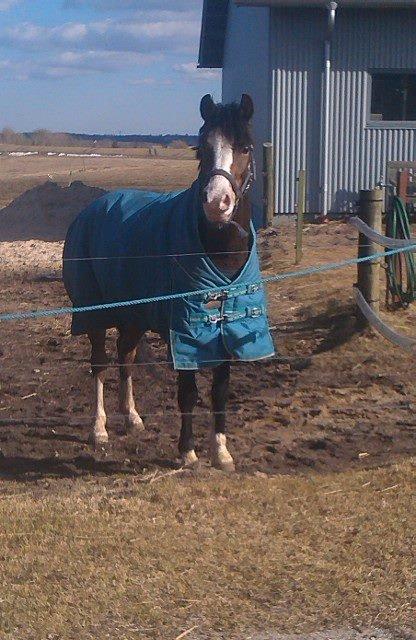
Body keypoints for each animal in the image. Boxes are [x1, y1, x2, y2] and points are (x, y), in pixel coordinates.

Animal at [63, 93, 275, 472]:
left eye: (246, 148)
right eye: (201, 149)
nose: (216, 203)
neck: (218, 252)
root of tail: (90, 210)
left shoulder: (226, 327)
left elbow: (220, 390)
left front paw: (221, 452)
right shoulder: (185, 331)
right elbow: (188, 392)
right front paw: (187, 451)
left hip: (134, 315)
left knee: (126, 356)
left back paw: (131, 417)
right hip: (94, 313)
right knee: (99, 364)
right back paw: (99, 429)